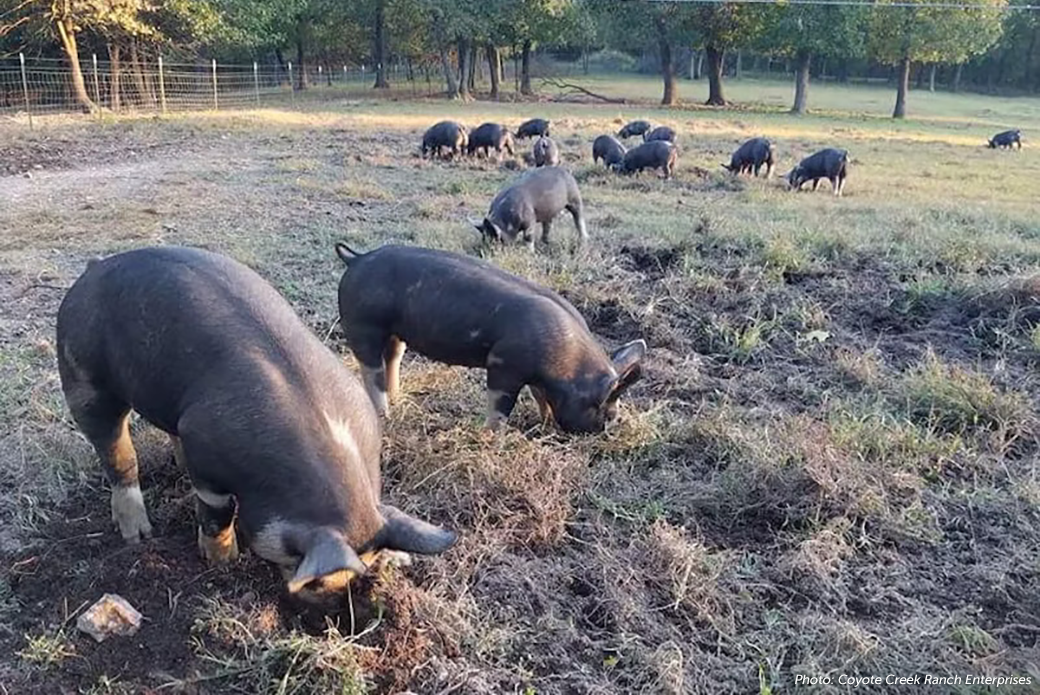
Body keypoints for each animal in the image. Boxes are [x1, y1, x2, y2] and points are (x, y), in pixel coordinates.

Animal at [332, 241, 644, 430]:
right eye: (608, 413)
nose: (604, 430)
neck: (568, 367)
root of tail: (356, 259)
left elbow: (540, 396)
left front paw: (544, 424)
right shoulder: (503, 364)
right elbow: (500, 408)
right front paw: (494, 436)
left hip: (394, 332)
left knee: (393, 356)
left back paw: (397, 400)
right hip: (363, 325)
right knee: (371, 369)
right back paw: (384, 415)